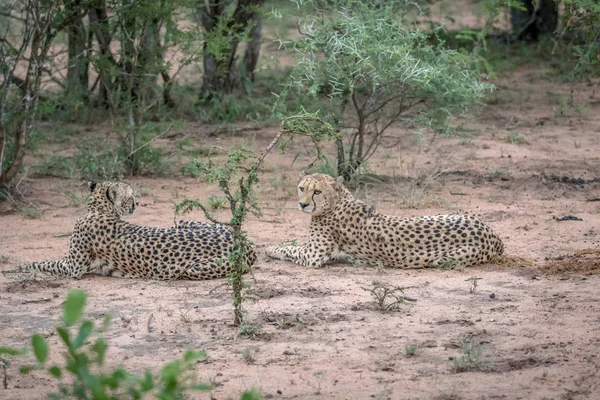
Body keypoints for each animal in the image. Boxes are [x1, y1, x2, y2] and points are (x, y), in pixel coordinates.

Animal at [18, 180, 255, 278]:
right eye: (131, 196)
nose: (138, 203)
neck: (99, 209)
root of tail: (244, 243)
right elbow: (49, 261)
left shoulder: (73, 268)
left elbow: (47, 262)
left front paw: (23, 266)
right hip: (182, 221)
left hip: (193, 269)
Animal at [264, 172, 504, 268]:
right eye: (301, 188)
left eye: (317, 192)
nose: (303, 204)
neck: (338, 200)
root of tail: (493, 235)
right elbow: (293, 244)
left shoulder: (313, 256)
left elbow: (290, 248)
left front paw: (269, 248)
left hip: (441, 259)